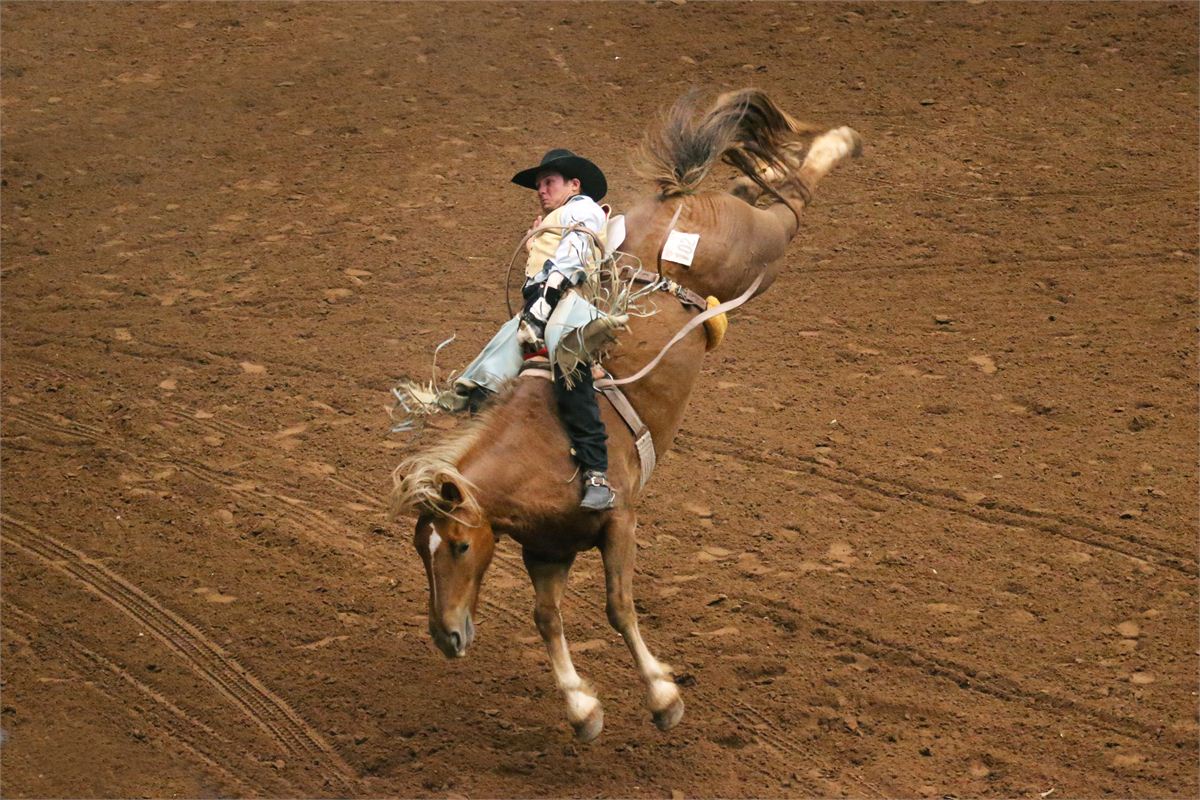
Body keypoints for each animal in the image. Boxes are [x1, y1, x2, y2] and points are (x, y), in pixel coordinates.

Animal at [393, 89, 864, 743]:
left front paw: (664, 696)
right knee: (762, 186)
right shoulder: (547, 551)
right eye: (421, 548)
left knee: (791, 203)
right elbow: (546, 619)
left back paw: (841, 140)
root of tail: (673, 200)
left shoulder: (619, 522)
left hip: (758, 253)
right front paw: (582, 708)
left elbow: (619, 608)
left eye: (459, 546)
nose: (446, 637)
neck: (541, 451)